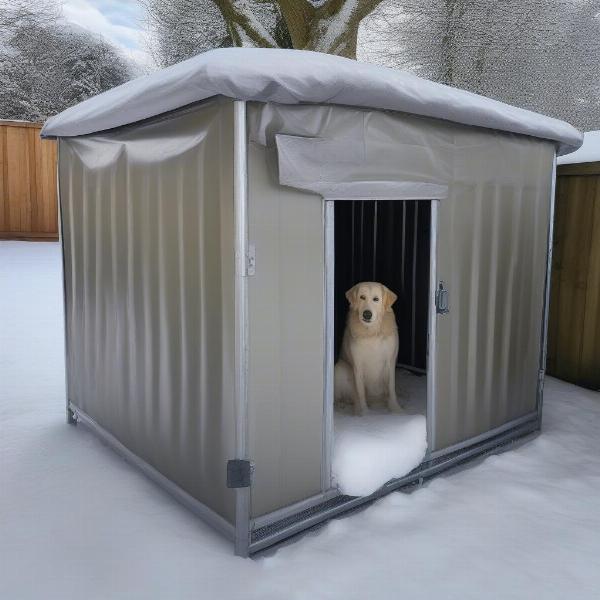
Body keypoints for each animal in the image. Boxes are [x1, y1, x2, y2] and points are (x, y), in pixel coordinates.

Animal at [332, 280, 404, 412]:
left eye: (376, 299)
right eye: (362, 297)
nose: (367, 314)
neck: (371, 332)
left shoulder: (390, 362)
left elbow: (391, 389)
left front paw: (396, 409)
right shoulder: (358, 365)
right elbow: (360, 393)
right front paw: (364, 413)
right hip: (340, 367)